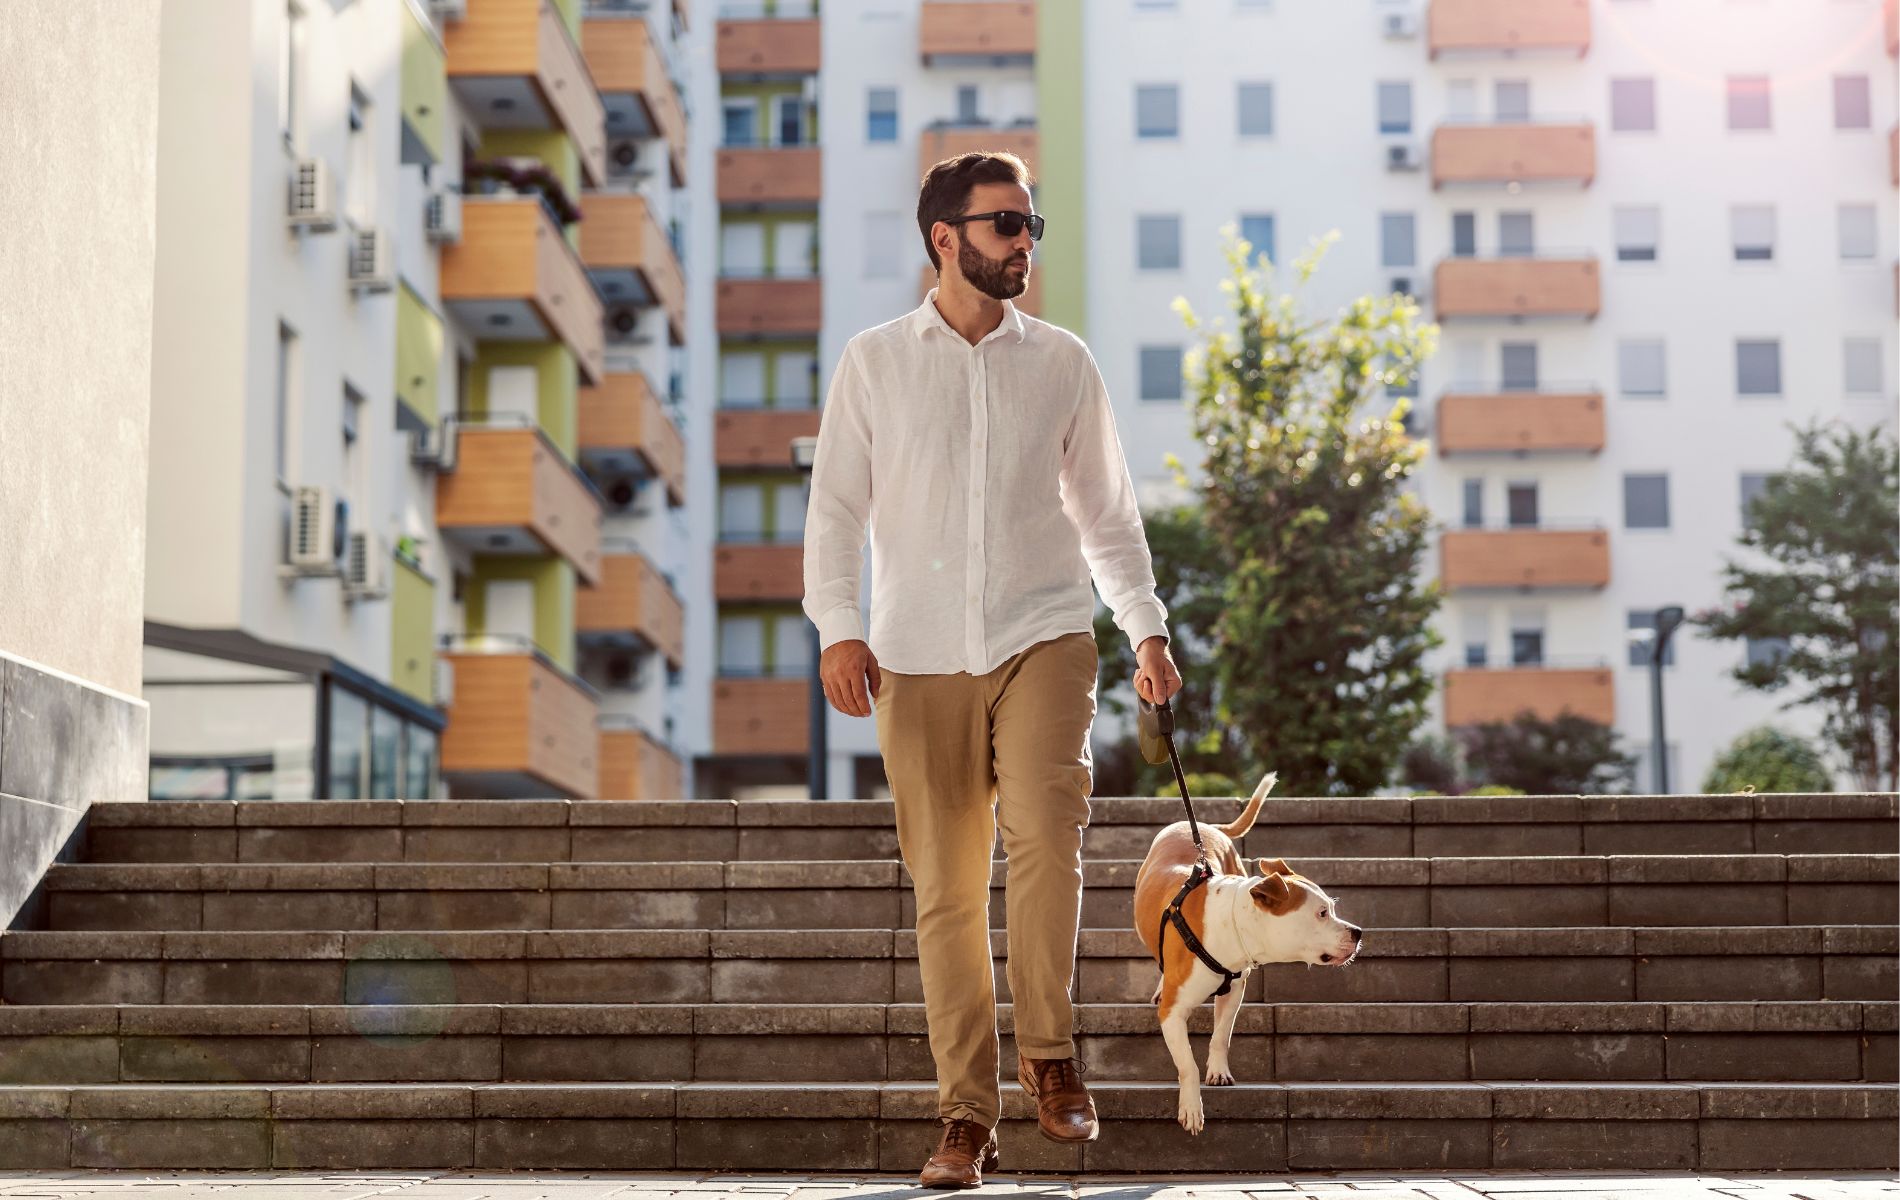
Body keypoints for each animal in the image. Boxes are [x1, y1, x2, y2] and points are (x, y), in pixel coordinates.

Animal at [1132, 774, 1360, 1131]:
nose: (1358, 933)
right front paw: (1191, 1106)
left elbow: (1221, 1036)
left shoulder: (1234, 989)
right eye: (1322, 913)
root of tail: (1205, 826)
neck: (1230, 922)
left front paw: (1218, 1072)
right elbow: (1187, 1064)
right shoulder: (1173, 1012)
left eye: (1331, 910)